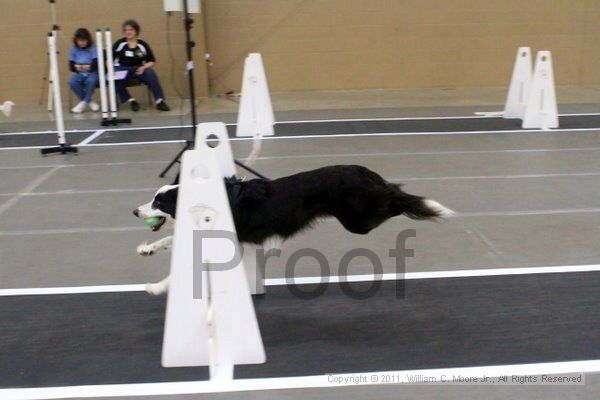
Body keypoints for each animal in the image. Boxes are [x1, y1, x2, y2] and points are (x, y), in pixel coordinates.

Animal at [132, 165, 450, 294]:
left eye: (158, 202)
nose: (135, 211)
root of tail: (365, 172)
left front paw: (157, 287)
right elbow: (169, 238)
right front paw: (147, 249)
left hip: (358, 220)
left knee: (394, 198)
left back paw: (424, 204)